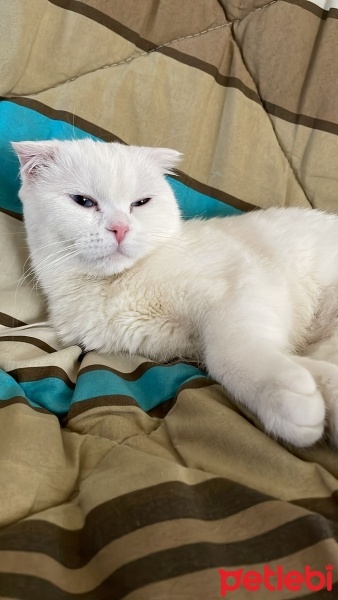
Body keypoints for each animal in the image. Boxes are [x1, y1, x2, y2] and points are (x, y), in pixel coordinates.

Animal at [12, 141, 338, 448]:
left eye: (141, 203)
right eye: (83, 201)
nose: (120, 228)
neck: (115, 284)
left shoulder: (246, 284)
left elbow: (228, 353)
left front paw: (287, 396)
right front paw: (317, 391)